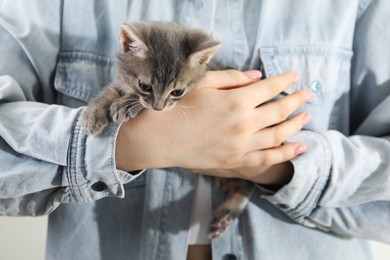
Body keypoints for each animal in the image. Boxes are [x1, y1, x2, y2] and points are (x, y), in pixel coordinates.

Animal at [81, 21, 256, 239]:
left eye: (177, 92)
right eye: (144, 85)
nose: (158, 108)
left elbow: (137, 103)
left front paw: (126, 104)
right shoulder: (121, 82)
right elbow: (109, 91)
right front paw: (94, 112)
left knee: (248, 183)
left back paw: (226, 213)